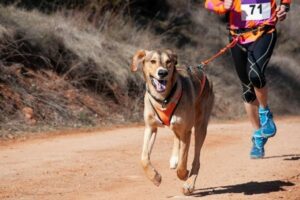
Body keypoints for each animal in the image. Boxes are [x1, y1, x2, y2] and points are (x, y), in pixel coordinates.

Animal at [131, 49, 213, 195]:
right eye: (152, 61)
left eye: (168, 62)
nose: (162, 72)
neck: (163, 99)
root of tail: (203, 72)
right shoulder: (150, 127)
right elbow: (144, 158)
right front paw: (155, 177)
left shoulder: (186, 131)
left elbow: (183, 162)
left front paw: (184, 175)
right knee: (176, 136)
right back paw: (174, 159)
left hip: (200, 127)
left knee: (196, 159)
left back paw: (189, 183)